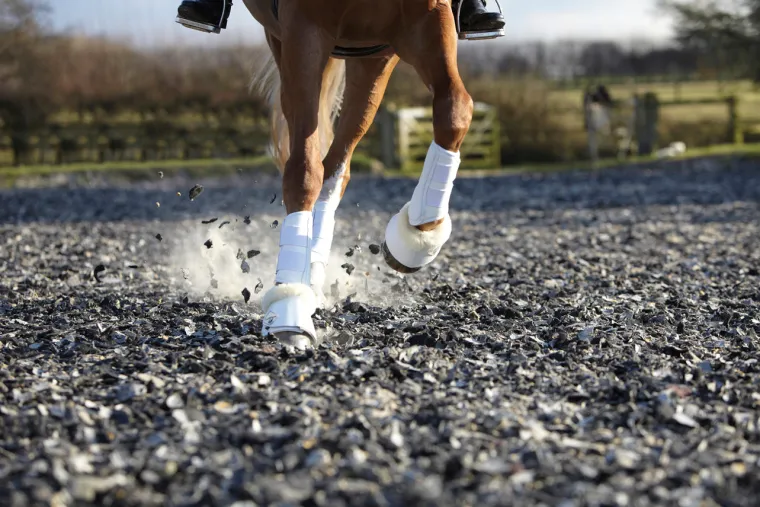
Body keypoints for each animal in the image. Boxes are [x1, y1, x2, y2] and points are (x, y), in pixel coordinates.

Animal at [243, 0, 478, 350]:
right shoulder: (303, 28)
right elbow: (304, 169)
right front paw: (289, 307)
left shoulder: (424, 21)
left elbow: (455, 109)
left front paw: (419, 235)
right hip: (287, 44)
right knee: (311, 152)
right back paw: (303, 284)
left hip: (368, 57)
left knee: (336, 166)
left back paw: (315, 272)